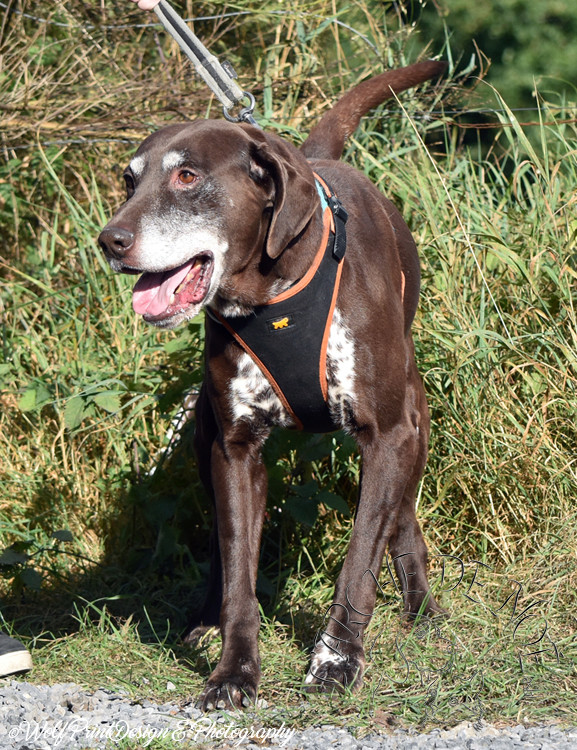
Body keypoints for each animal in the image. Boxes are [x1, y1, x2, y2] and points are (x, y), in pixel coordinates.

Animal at [99, 61, 446, 712]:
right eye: (128, 181)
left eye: (187, 176)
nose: (110, 241)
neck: (271, 291)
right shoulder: (234, 449)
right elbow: (240, 570)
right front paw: (233, 672)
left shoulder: (387, 435)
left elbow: (360, 557)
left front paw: (337, 660)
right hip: (203, 439)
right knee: (221, 548)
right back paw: (203, 620)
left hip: (412, 425)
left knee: (402, 516)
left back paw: (422, 610)